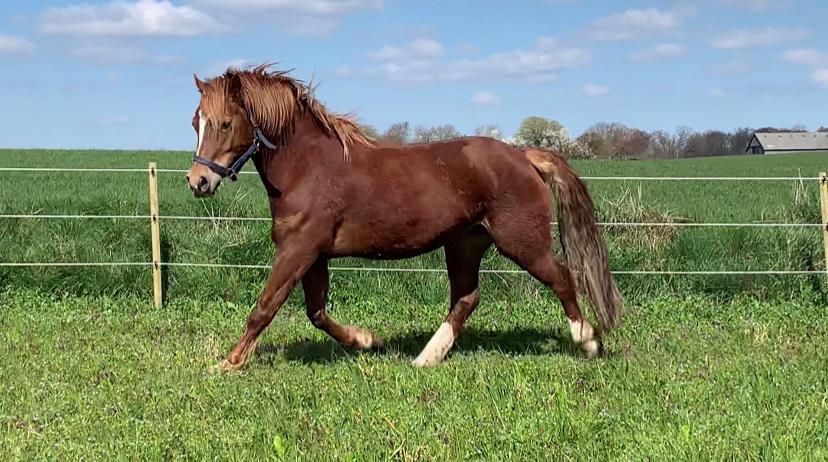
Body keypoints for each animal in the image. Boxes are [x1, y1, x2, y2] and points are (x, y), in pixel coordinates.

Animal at [184, 64, 616, 372]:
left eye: (225, 123)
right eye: (195, 122)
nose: (198, 180)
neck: (309, 168)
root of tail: (524, 155)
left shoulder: (298, 249)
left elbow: (265, 307)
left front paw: (228, 363)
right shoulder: (313, 254)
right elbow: (316, 312)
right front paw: (367, 340)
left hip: (522, 242)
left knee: (563, 277)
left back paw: (588, 340)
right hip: (464, 243)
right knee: (467, 297)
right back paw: (426, 357)